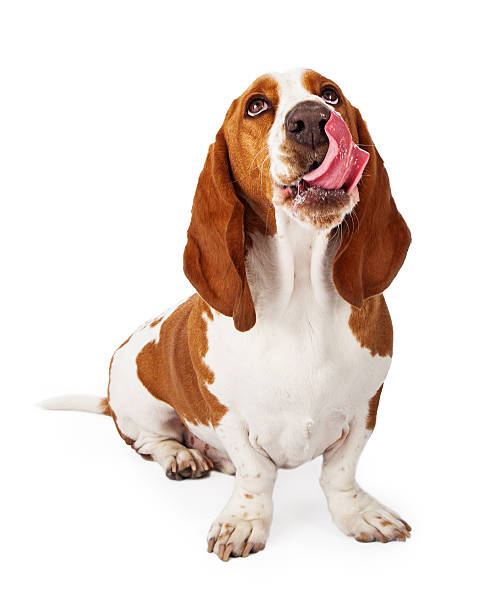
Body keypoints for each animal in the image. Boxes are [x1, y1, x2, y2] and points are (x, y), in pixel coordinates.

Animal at [42, 67, 412, 560]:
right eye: (257, 106)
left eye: (330, 94)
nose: (313, 119)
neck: (301, 301)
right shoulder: (229, 417)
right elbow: (257, 473)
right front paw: (244, 522)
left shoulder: (364, 408)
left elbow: (340, 472)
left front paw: (359, 514)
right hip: (142, 405)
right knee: (149, 440)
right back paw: (182, 456)